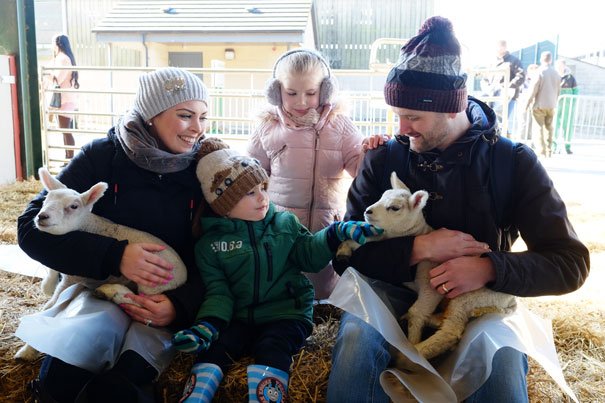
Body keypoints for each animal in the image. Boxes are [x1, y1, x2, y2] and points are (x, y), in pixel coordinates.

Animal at [336, 172, 516, 362]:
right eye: (381, 196)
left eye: (394, 208)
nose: (367, 211)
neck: (417, 234)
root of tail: (511, 300)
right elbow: (367, 242)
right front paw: (343, 250)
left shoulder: (432, 284)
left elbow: (418, 313)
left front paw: (410, 344)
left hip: (470, 296)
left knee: (451, 330)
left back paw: (412, 355)